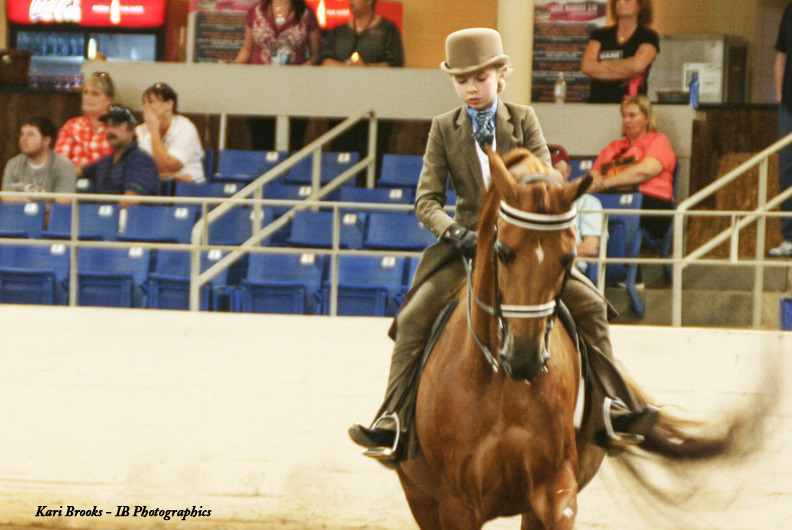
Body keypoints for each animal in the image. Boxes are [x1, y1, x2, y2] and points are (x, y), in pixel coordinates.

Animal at [395, 148, 758, 529]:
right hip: (423, 501)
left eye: (568, 257)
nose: (525, 358)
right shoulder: (456, 505)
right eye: (503, 251)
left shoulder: (555, 489)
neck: (501, 383)